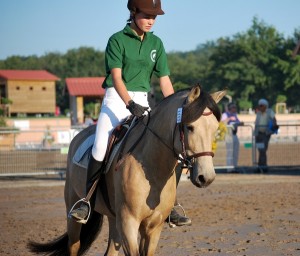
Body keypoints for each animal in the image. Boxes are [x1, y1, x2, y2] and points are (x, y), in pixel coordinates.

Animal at [28, 86, 226, 256]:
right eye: (190, 127)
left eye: (215, 129)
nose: (206, 177)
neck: (151, 170)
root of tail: (79, 135)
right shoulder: (128, 223)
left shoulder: (153, 227)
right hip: (74, 213)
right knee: (74, 245)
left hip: (114, 219)